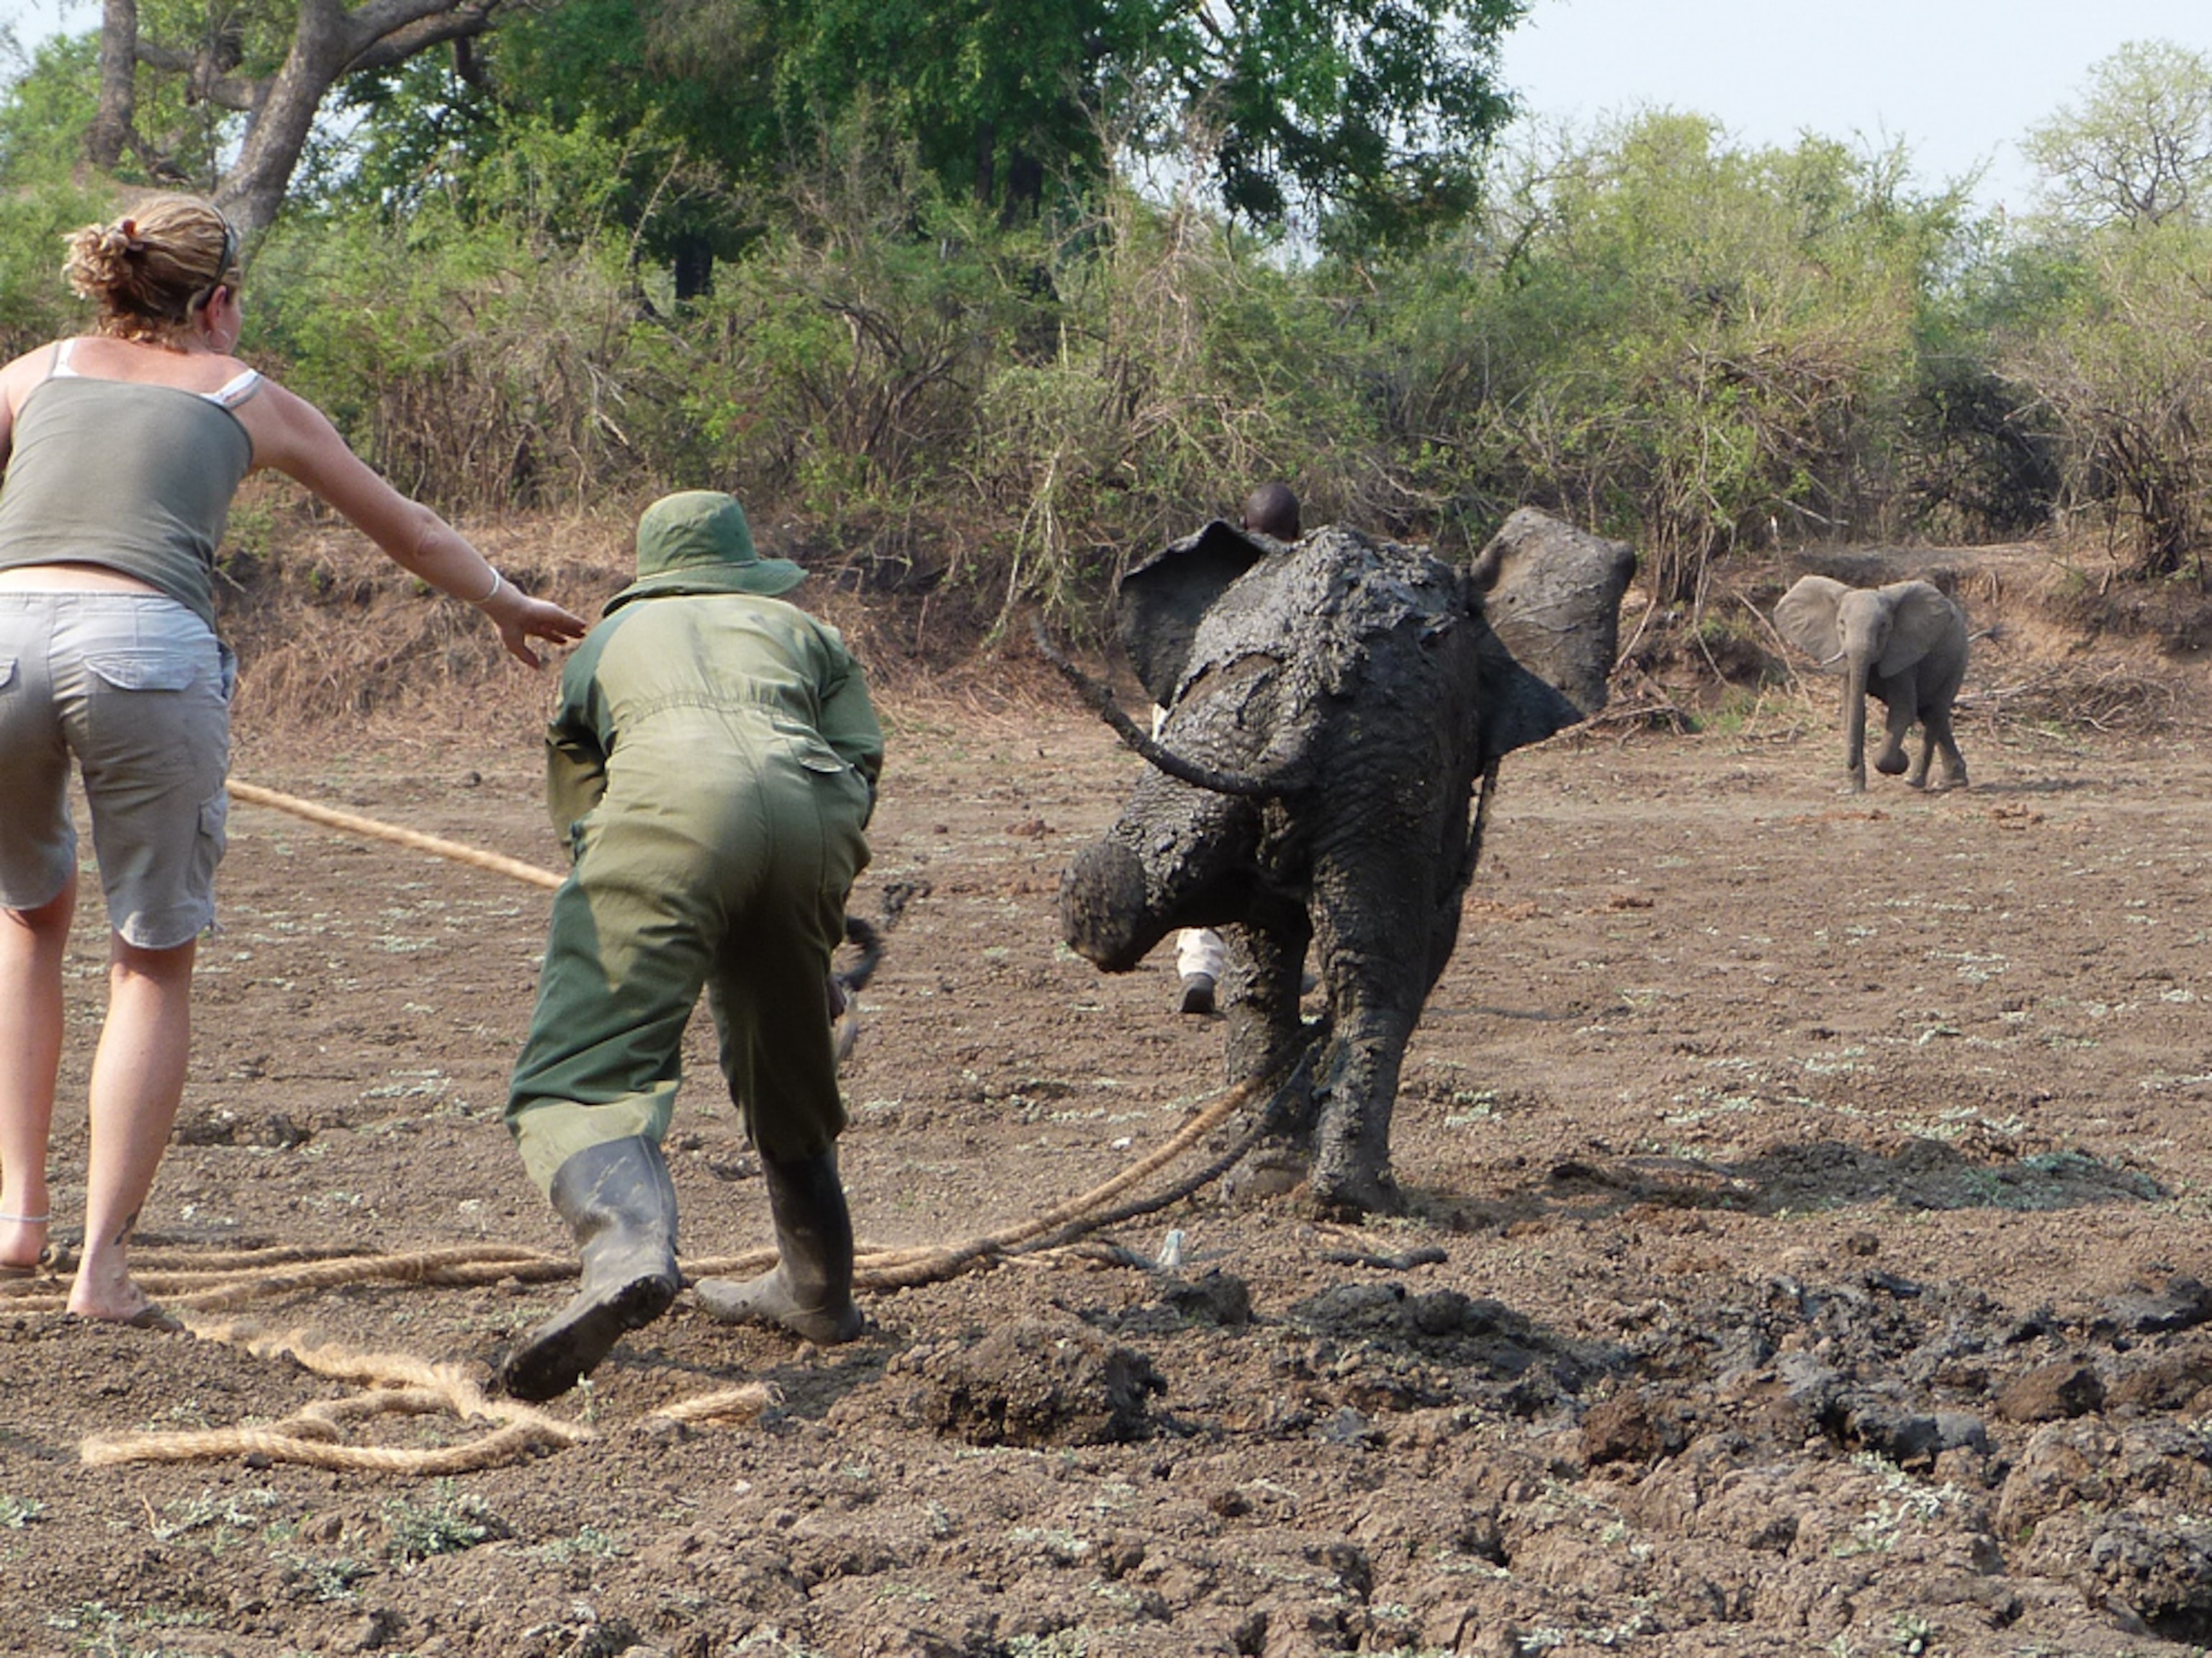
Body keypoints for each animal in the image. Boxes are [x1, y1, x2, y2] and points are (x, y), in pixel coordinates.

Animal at [1057, 508, 1635, 1218]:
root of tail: (1302, 703)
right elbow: (1430, 936)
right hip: (1382, 769)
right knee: (1376, 976)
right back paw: (1361, 1196)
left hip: (1222, 739)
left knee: (1248, 964)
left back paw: (1267, 1180)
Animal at [1773, 575, 1969, 794]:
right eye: (1841, 623)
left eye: (1884, 625)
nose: (1850, 765)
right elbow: (1853, 711)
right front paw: (1853, 789)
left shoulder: (1902, 654)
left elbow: (1903, 710)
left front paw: (1900, 761)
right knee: (1930, 714)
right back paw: (1952, 782)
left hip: (1957, 658)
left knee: (1935, 712)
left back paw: (1914, 781)